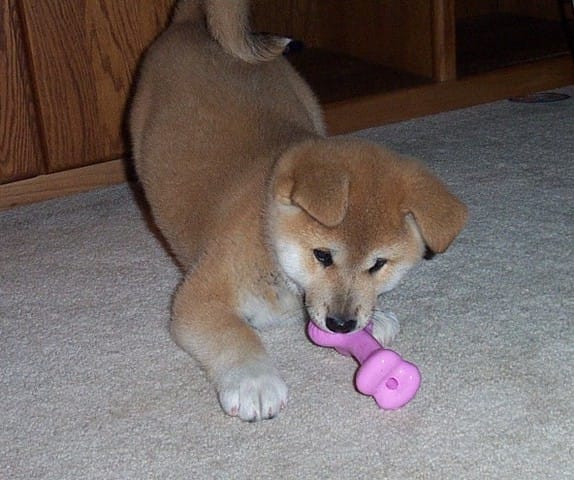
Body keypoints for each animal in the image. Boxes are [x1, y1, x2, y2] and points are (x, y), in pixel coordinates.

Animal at [129, 0, 468, 421]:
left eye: (378, 264)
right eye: (322, 255)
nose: (342, 324)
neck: (267, 234)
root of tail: (191, 22)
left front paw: (375, 320)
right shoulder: (199, 297)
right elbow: (233, 333)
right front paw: (254, 379)